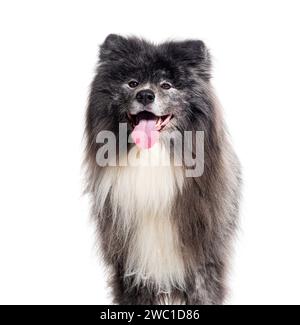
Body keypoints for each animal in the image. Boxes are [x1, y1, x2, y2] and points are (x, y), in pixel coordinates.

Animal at [84, 35, 241, 304]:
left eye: (166, 85)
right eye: (132, 83)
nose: (146, 95)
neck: (150, 158)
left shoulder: (202, 264)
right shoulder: (132, 267)